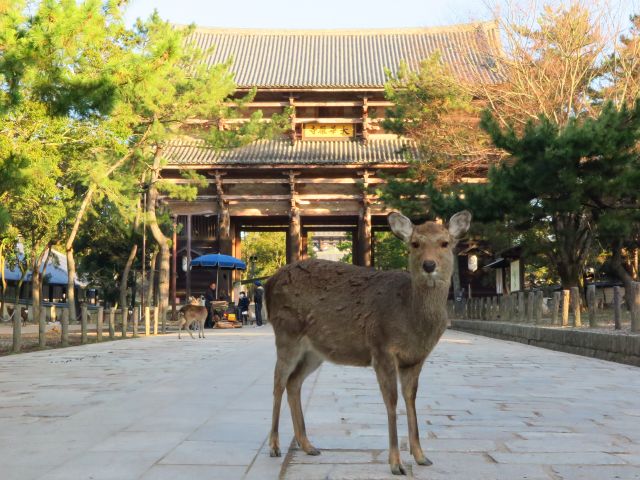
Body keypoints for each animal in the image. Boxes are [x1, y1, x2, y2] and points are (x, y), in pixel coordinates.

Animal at [266, 210, 471, 476]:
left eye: (445, 243)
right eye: (415, 243)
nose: (429, 265)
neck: (412, 320)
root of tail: (268, 283)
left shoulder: (416, 358)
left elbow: (411, 399)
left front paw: (421, 456)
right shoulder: (382, 348)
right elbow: (391, 401)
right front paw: (396, 464)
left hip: (314, 352)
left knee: (294, 382)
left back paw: (308, 445)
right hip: (286, 334)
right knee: (278, 382)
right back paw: (274, 446)